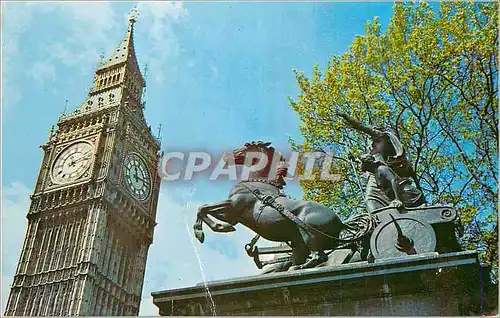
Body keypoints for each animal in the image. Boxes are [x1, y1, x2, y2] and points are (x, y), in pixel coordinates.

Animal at [192, 142, 356, 268]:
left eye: (244, 148)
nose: (226, 156)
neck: (257, 185)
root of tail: (340, 222)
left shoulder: (232, 206)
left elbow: (202, 208)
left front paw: (202, 232)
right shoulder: (233, 216)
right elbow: (207, 210)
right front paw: (222, 227)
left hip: (309, 235)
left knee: (319, 256)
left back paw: (298, 268)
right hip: (298, 241)